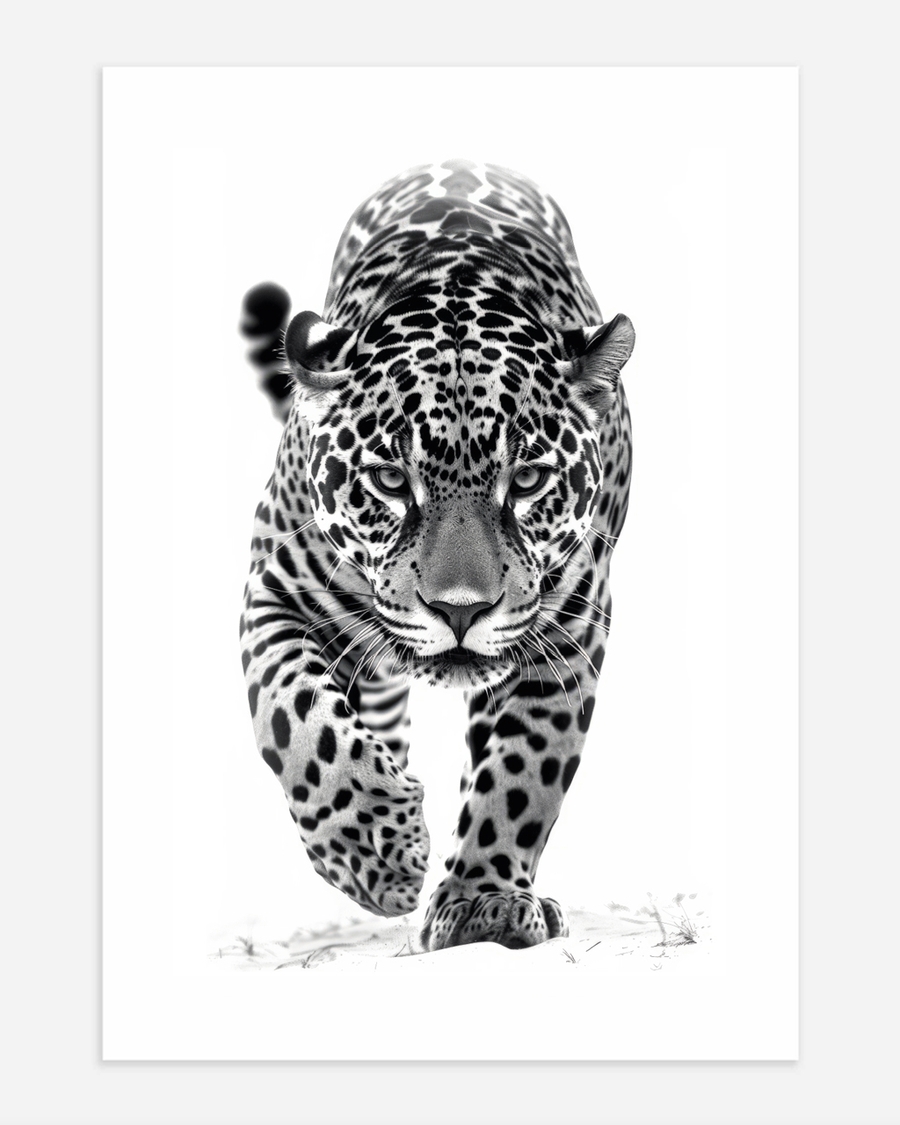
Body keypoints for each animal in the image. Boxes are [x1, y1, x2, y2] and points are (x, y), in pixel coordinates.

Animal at [239, 159, 635, 951]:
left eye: (529, 480)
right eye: (392, 482)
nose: (460, 610)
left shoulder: (571, 631)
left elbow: (522, 770)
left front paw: (483, 901)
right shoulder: (273, 590)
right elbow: (297, 718)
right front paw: (376, 851)